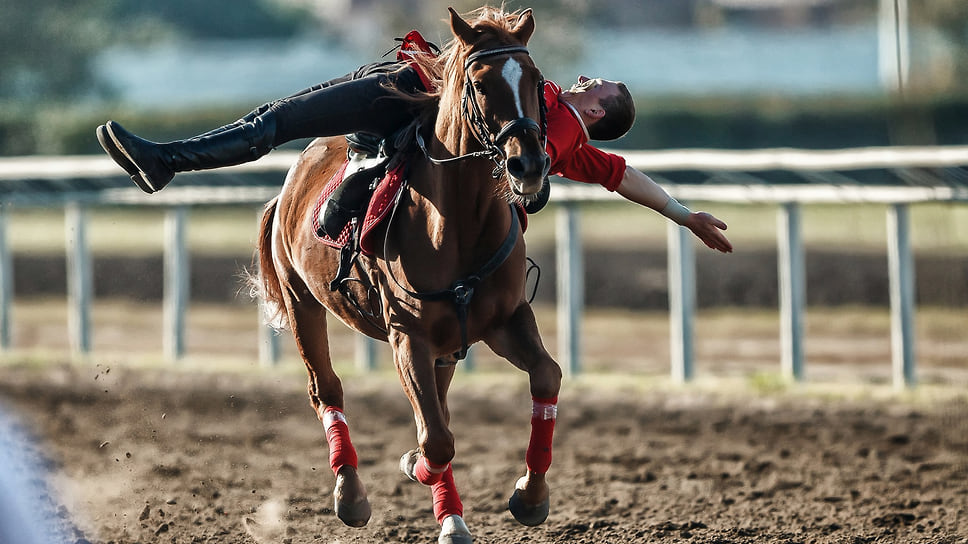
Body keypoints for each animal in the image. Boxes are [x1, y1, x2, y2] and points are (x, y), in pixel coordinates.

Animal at [253, 6, 564, 540]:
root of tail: (290, 181)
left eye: (535, 79)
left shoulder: (504, 320)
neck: (458, 223)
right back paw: (351, 494)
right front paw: (424, 476)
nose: (529, 164)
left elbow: (546, 375)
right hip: (301, 301)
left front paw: (530, 495)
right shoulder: (408, 336)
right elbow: (437, 439)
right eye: (480, 84)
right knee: (326, 389)